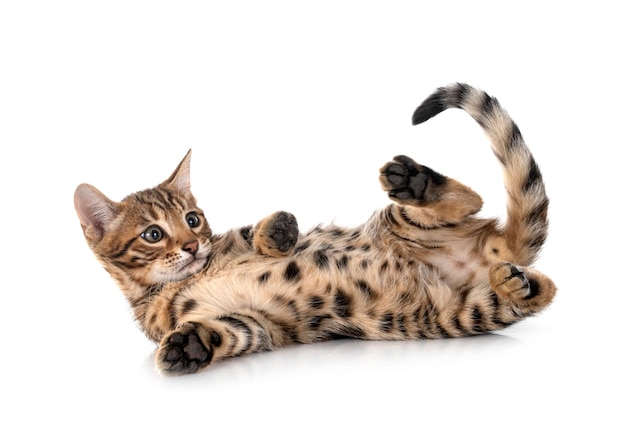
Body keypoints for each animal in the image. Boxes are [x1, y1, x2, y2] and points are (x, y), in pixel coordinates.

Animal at [74, 83, 556, 374]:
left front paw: (278, 231)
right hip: (455, 313)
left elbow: (250, 231)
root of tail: (496, 254)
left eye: (193, 219)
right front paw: (189, 348)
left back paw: (416, 180)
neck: (185, 277)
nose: (192, 245)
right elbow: (231, 332)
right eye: (153, 234)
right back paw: (521, 285)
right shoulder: (257, 325)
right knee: (537, 291)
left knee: (469, 199)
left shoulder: (230, 241)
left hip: (400, 222)